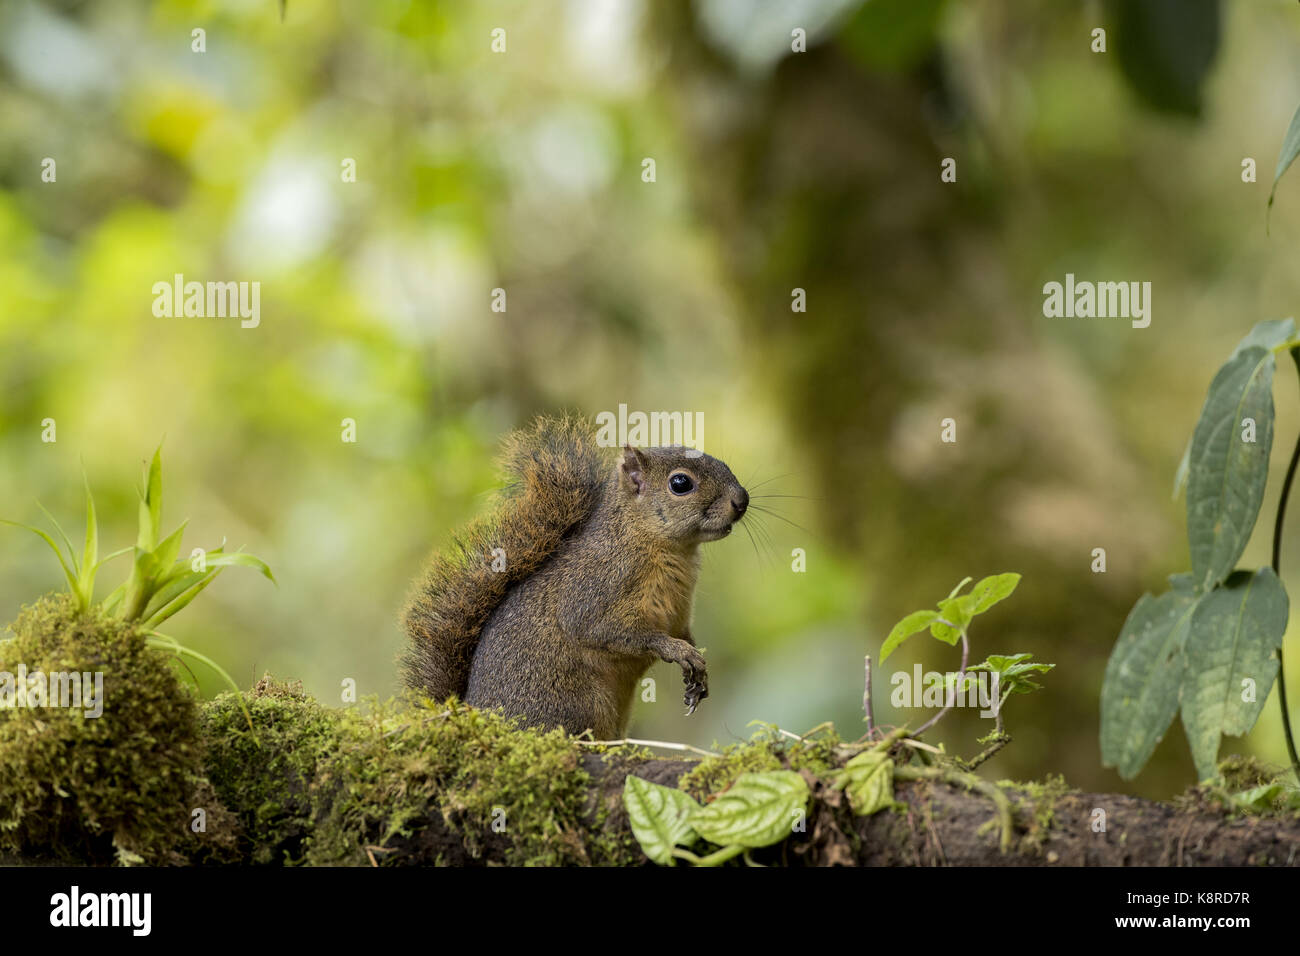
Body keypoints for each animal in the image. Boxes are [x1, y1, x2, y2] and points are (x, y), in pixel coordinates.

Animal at [405, 416, 754, 738]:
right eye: (680, 483)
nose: (742, 500)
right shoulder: (596, 589)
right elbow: (613, 632)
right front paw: (677, 651)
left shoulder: (679, 614)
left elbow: (683, 634)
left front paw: (697, 674)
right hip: (580, 705)